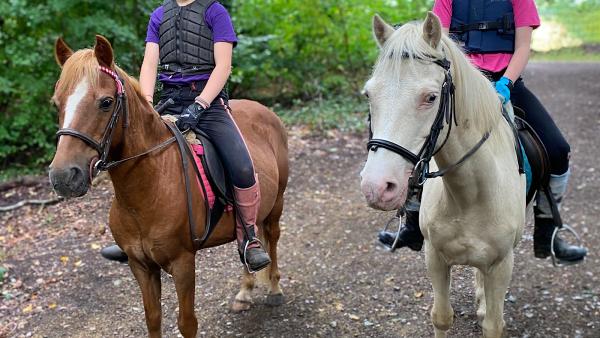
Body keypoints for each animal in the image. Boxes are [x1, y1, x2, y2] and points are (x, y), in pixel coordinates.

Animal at [49, 35, 288, 336]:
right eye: (56, 103)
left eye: (105, 102)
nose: (63, 177)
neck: (148, 188)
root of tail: (264, 110)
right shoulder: (141, 266)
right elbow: (153, 318)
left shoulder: (183, 263)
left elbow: (187, 323)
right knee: (247, 234)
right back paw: (245, 292)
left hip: (276, 203)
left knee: (272, 237)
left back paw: (275, 289)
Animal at [360, 11, 524, 336]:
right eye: (369, 94)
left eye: (431, 97)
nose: (376, 187)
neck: (469, 195)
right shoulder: (435, 257)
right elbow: (441, 317)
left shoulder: (502, 265)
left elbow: (493, 324)